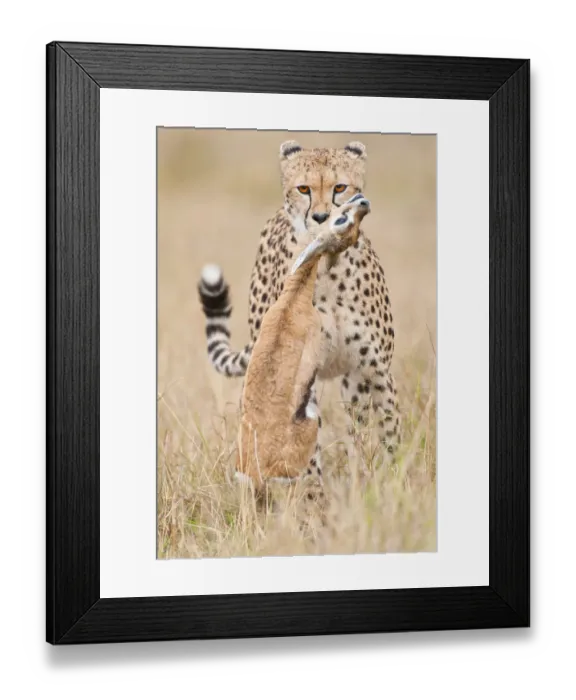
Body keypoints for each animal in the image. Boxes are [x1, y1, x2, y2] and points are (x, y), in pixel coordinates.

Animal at [197, 139, 401, 481]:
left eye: (339, 187)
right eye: (303, 188)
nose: (320, 217)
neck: (328, 266)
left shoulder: (374, 369)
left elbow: (389, 431)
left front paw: (389, 482)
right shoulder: (301, 375)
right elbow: (308, 447)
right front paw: (312, 488)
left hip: (350, 380)